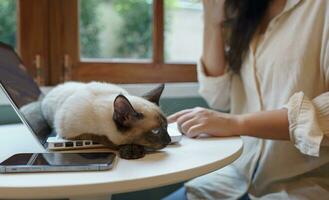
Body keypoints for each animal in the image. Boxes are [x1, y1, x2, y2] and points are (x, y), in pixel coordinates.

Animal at [40, 81, 169, 159]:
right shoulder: (73, 134)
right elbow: (105, 139)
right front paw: (132, 150)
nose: (168, 140)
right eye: (156, 131)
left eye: (166, 126)